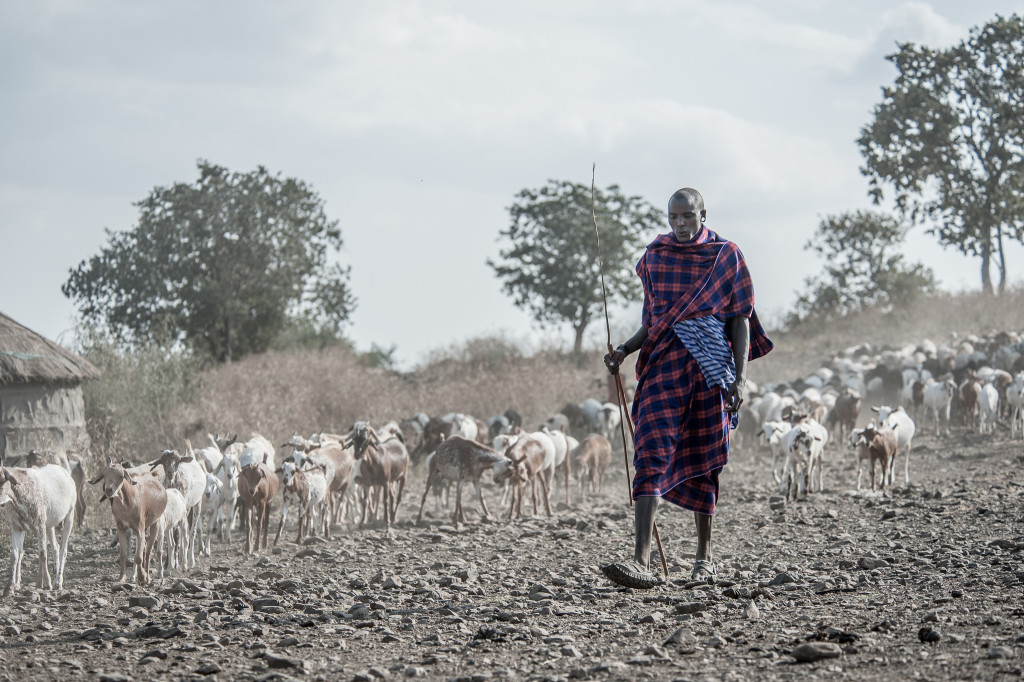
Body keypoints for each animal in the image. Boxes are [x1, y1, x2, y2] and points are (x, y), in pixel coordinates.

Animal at [0, 458, 75, 593]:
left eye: (2, 482)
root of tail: (66, 473)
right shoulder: (17, 527)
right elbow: (14, 555)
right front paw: (9, 587)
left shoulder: (39, 525)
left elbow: (42, 553)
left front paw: (47, 584)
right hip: (49, 526)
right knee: (55, 547)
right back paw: (48, 579)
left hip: (69, 516)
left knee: (63, 550)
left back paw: (58, 582)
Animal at [90, 456, 165, 585]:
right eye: (104, 475)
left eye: (121, 476)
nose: (109, 490)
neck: (127, 504)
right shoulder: (121, 527)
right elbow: (123, 555)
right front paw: (121, 577)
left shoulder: (139, 528)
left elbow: (138, 557)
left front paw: (142, 577)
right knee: (144, 547)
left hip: (155, 522)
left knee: (148, 551)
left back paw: (148, 577)